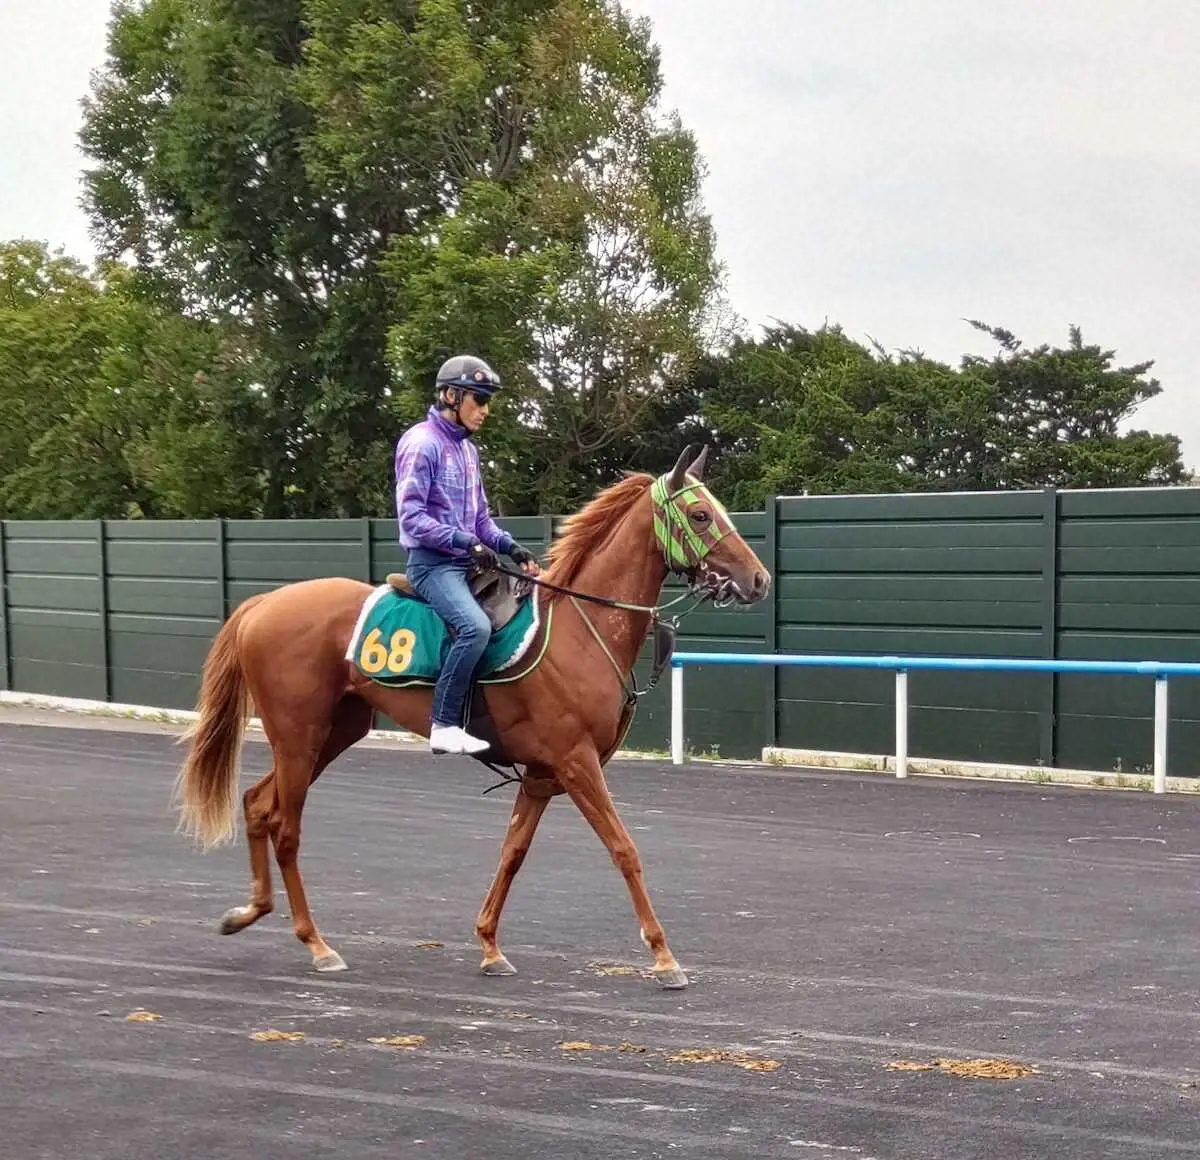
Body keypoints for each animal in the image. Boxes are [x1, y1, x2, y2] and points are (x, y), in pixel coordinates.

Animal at [175, 446, 772, 988]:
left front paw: (489, 945)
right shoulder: (577, 763)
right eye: (701, 515)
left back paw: (249, 913)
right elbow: (624, 849)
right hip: (299, 737)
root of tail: (262, 605)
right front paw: (664, 957)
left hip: (332, 733)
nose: (759, 579)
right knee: (286, 827)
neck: (581, 629)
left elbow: (513, 852)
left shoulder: (541, 775)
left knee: (258, 805)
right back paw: (316, 944)